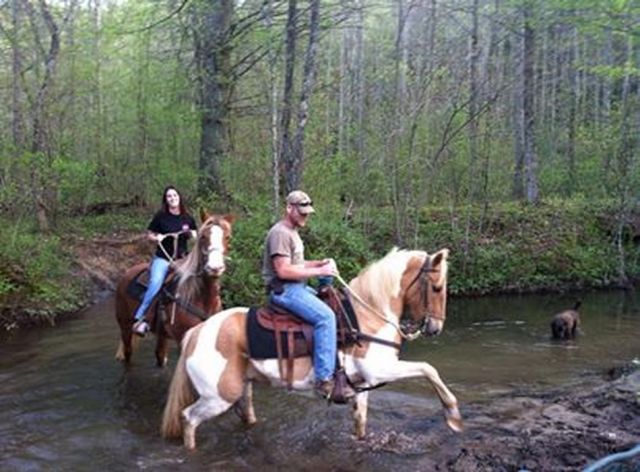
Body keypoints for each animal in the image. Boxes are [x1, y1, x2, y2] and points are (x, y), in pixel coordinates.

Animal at [114, 211, 235, 368]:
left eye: (227, 237)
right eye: (203, 236)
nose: (215, 268)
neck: (201, 298)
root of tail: (126, 273)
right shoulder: (181, 340)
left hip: (161, 334)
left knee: (160, 355)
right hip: (125, 326)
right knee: (128, 353)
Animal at [159, 247, 460, 450]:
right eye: (437, 287)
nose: (435, 328)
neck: (366, 316)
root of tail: (196, 333)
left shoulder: (362, 383)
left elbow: (360, 421)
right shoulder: (379, 370)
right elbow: (428, 369)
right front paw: (453, 415)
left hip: (241, 390)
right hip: (218, 396)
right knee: (188, 419)